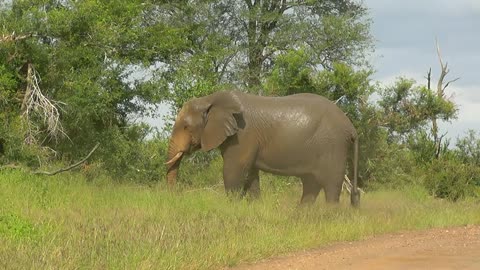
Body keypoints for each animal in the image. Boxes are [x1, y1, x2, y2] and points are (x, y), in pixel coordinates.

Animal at [165, 90, 360, 207]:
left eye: (186, 127)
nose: (176, 198)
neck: (210, 99)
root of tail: (352, 128)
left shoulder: (242, 136)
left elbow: (233, 171)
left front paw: (231, 208)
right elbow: (251, 175)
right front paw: (254, 208)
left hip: (333, 146)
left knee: (331, 184)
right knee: (311, 183)